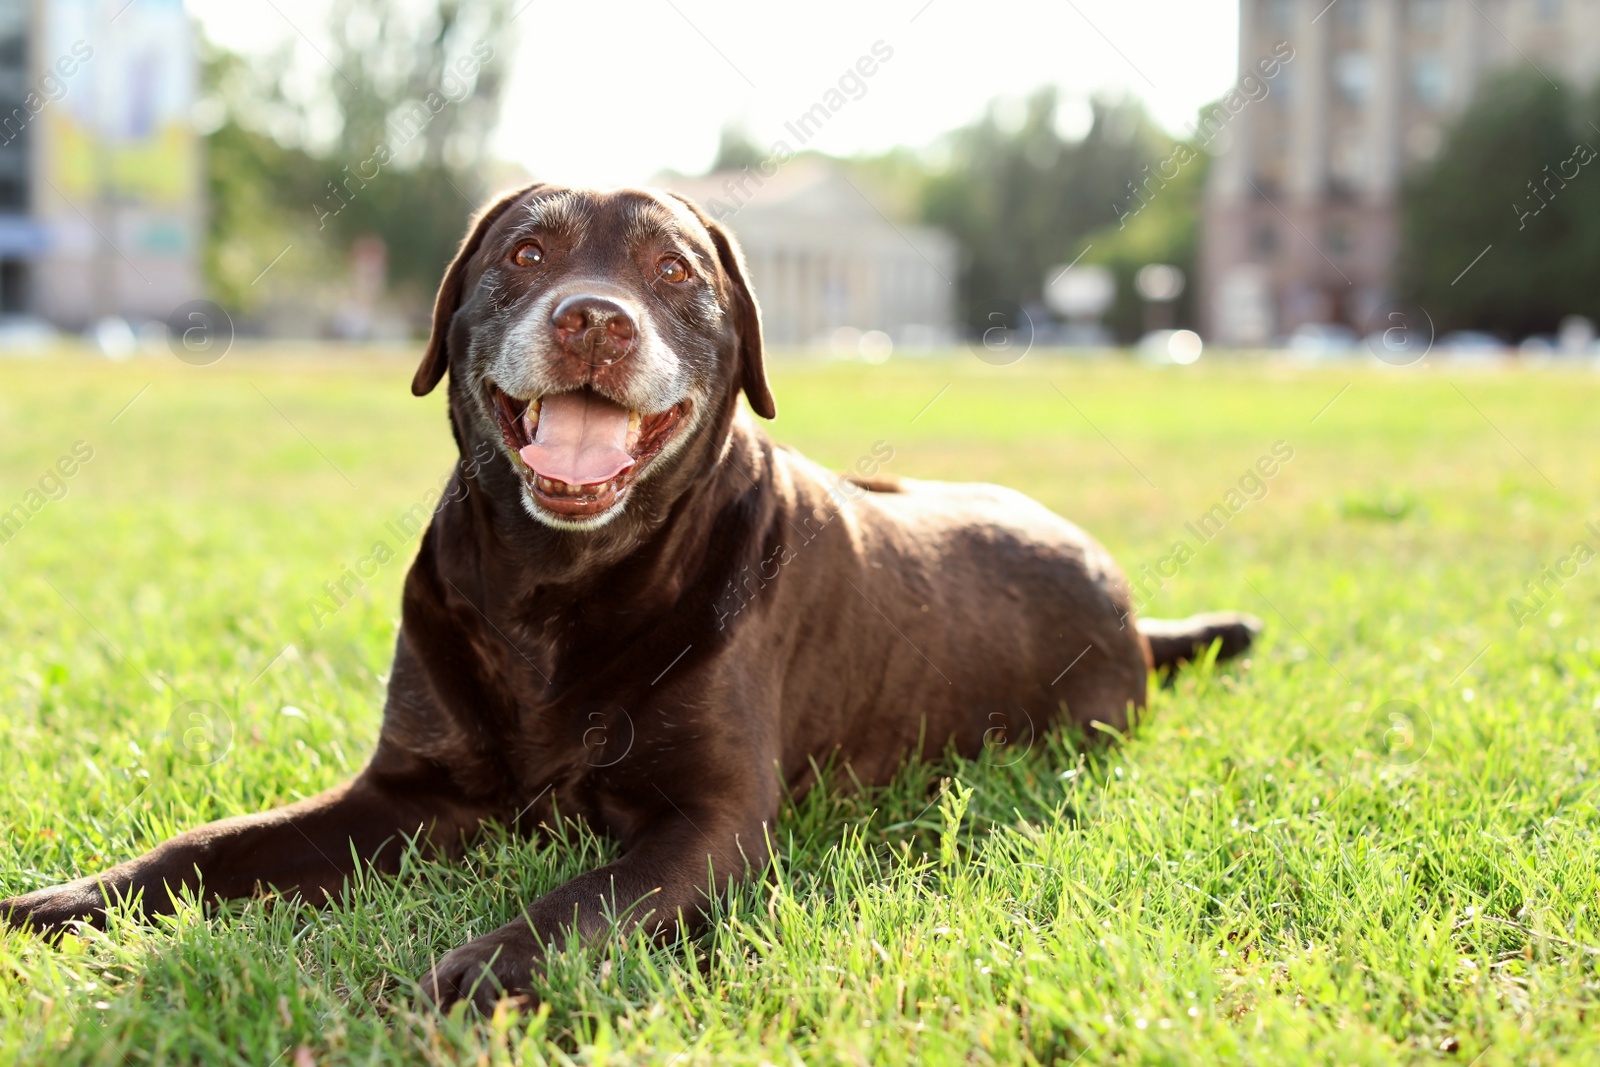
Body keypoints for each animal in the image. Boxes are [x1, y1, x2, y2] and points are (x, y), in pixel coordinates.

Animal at [6, 183, 1267, 1011]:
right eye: (525, 253)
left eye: (673, 274)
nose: (593, 316)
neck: (553, 590)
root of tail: (1128, 607)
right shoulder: (405, 793)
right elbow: (204, 848)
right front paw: (66, 899)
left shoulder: (709, 819)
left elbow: (587, 898)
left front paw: (488, 968)